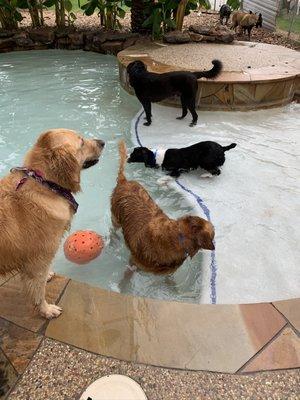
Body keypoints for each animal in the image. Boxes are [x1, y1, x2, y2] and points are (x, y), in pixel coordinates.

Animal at [0, 130, 104, 320]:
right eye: (81, 142)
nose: (102, 142)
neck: (46, 185)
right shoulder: (39, 259)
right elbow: (38, 290)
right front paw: (46, 310)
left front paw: (48, 275)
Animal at [111, 140, 214, 276]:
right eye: (213, 233)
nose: (128, 156)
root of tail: (124, 181)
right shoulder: (133, 263)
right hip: (115, 219)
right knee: (112, 230)